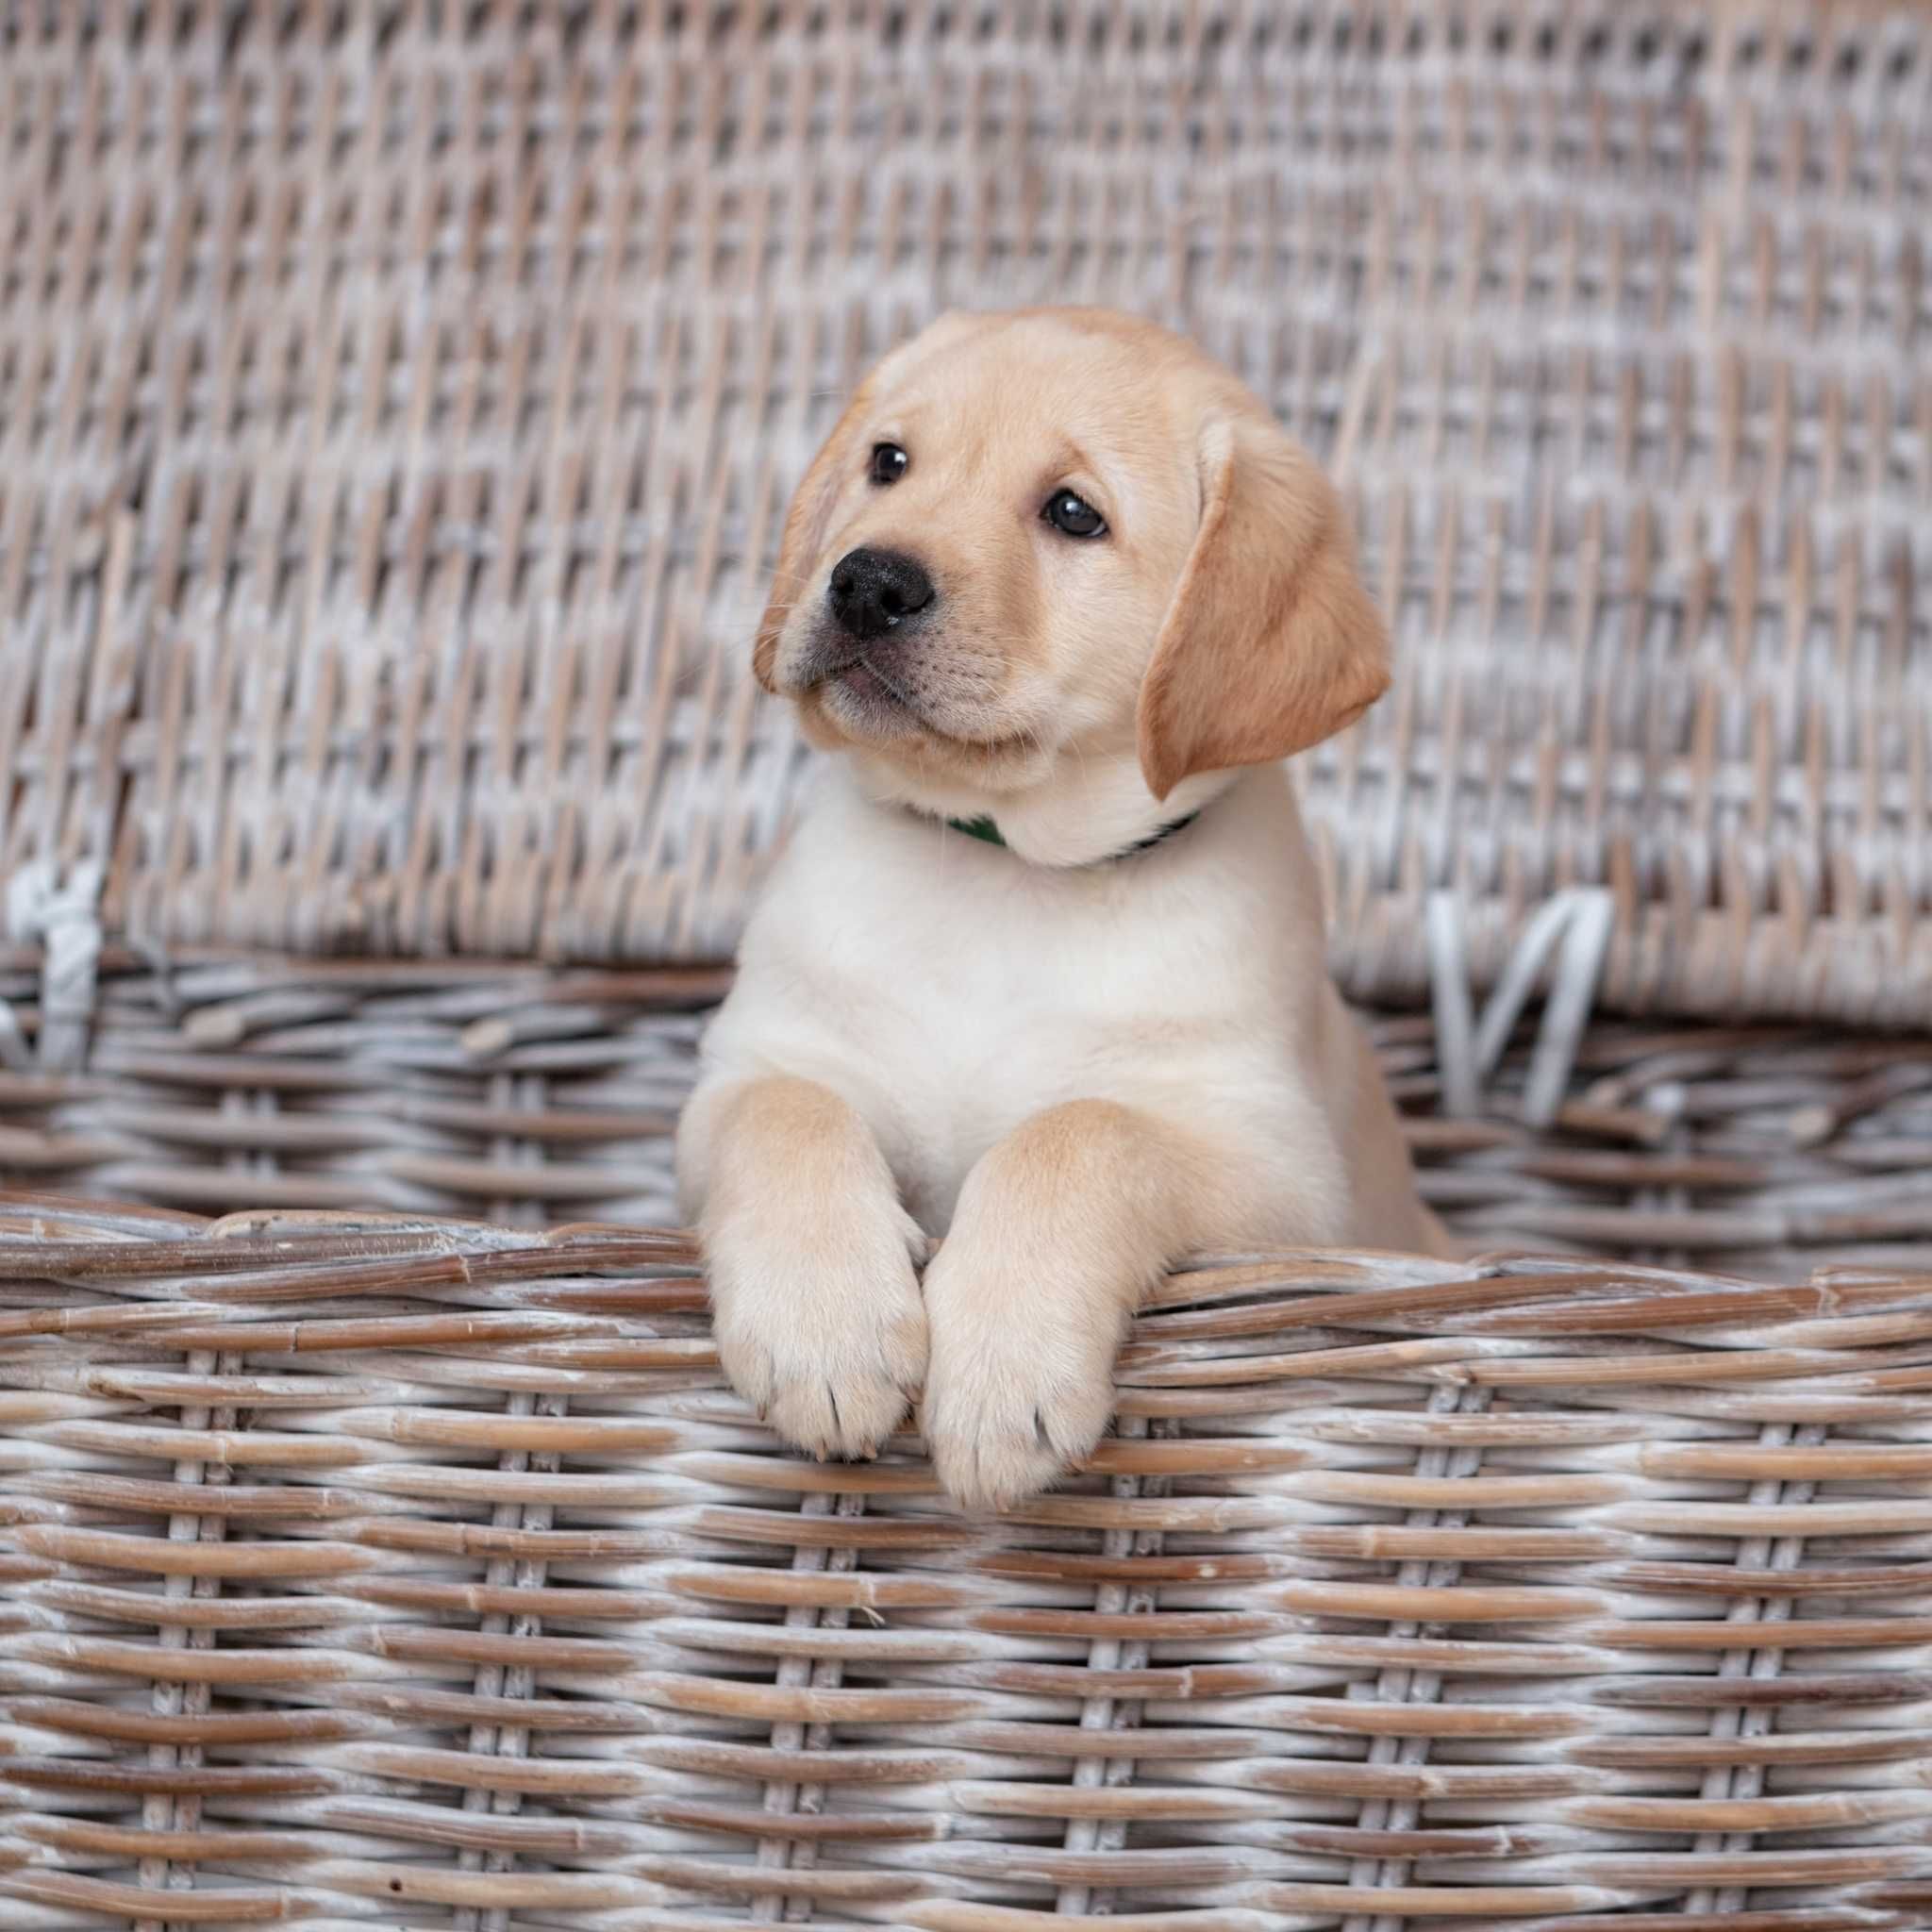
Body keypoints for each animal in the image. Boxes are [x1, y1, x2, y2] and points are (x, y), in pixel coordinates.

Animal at [679, 308, 1453, 1507]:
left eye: (1073, 514)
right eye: (888, 462)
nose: (864, 583)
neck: (1006, 870)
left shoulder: (1283, 1175)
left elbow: (1079, 1130)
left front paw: (1001, 1371)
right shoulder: (752, 1066)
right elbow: (788, 1110)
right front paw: (824, 1327)